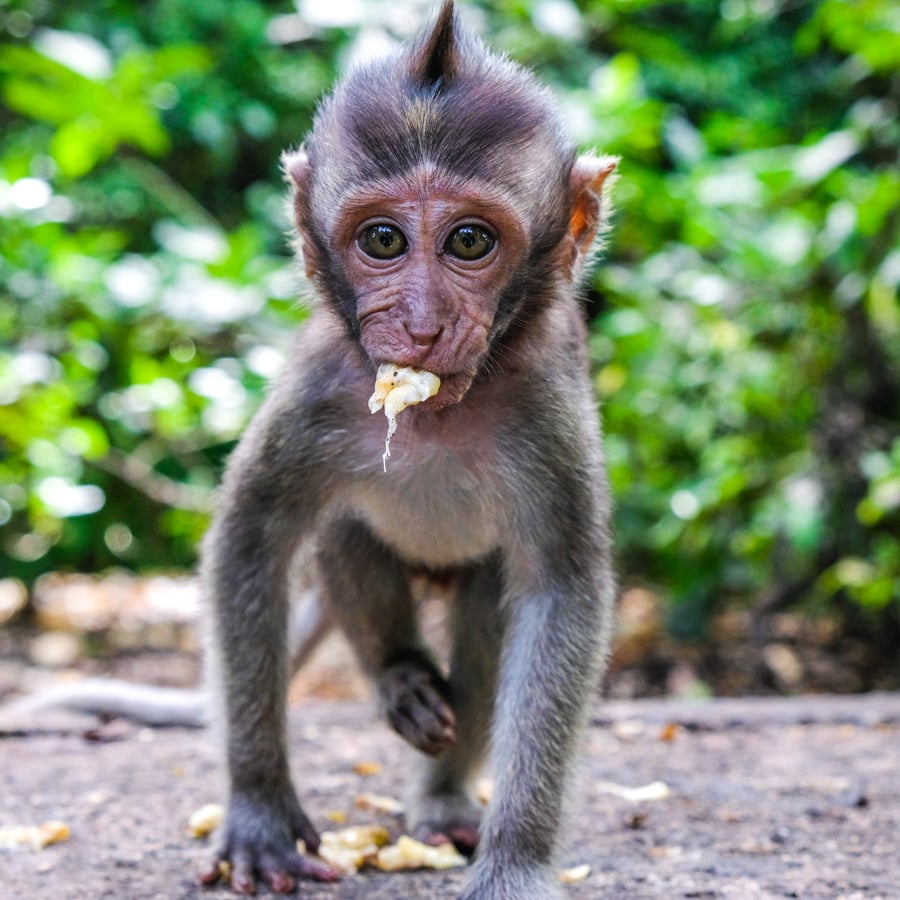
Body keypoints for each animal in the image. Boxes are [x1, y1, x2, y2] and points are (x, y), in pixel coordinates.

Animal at [198, 1, 616, 900]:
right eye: (384, 241)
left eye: (469, 242)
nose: (421, 325)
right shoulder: (320, 390)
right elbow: (252, 541)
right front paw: (258, 809)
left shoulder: (547, 415)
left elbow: (558, 592)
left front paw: (516, 859)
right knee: (344, 530)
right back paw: (400, 676)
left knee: (491, 600)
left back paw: (443, 798)